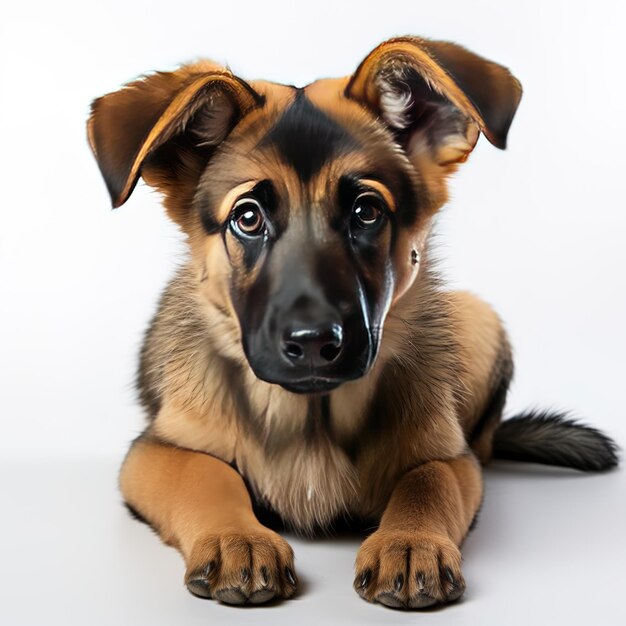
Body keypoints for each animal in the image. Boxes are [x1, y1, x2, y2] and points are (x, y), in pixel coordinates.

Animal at [86, 36, 616, 608]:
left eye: (367, 211)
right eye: (247, 217)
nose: (315, 342)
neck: (312, 420)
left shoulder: (452, 460)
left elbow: (427, 483)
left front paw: (409, 542)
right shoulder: (154, 452)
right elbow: (206, 475)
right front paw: (237, 537)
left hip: (479, 317)